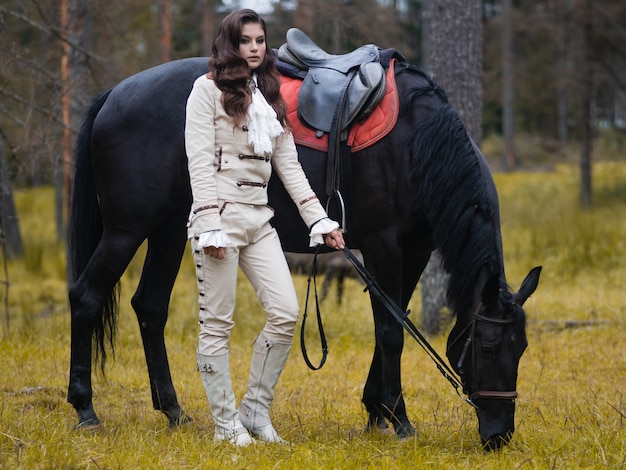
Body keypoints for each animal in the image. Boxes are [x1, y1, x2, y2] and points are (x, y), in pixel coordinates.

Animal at [67, 55, 536, 448]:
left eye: (523, 348)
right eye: (488, 348)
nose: (499, 436)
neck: (417, 145)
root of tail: (116, 93)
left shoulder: (416, 250)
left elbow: (394, 318)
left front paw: (376, 411)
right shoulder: (384, 245)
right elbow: (390, 331)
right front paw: (399, 418)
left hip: (167, 231)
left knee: (150, 307)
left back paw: (174, 411)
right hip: (127, 230)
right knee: (86, 297)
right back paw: (86, 410)